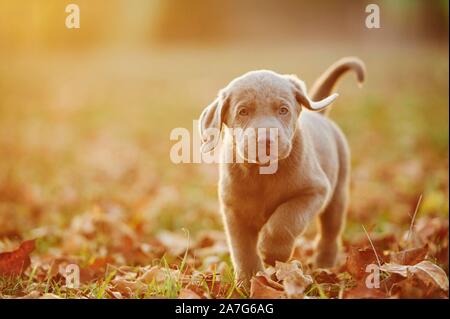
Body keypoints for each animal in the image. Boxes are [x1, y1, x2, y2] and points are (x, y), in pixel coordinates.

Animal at [200, 57, 366, 284]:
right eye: (243, 111)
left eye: (283, 110)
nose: (266, 140)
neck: (263, 173)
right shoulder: (234, 210)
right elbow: (242, 248)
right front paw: (248, 279)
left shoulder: (314, 190)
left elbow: (285, 219)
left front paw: (272, 252)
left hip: (337, 194)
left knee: (330, 232)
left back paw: (324, 264)